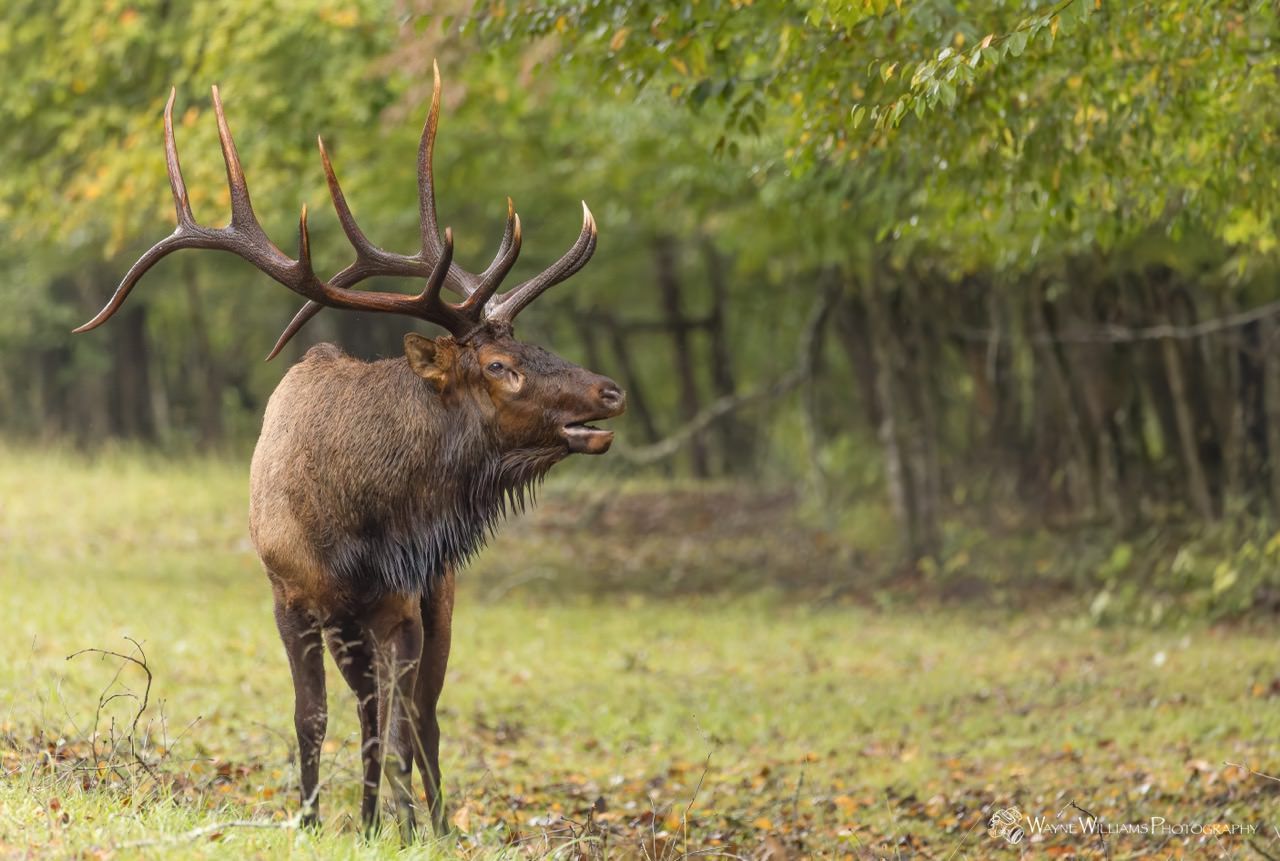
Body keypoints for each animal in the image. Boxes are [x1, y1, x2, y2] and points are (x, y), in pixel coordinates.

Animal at [73, 64, 625, 840]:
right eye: (500, 366)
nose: (610, 391)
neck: (353, 523)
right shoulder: (291, 596)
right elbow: (314, 720)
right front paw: (312, 819)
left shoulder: (401, 603)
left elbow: (398, 734)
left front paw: (410, 829)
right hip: (350, 624)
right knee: (370, 711)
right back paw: (367, 819)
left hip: (437, 594)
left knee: (421, 718)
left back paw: (433, 822)